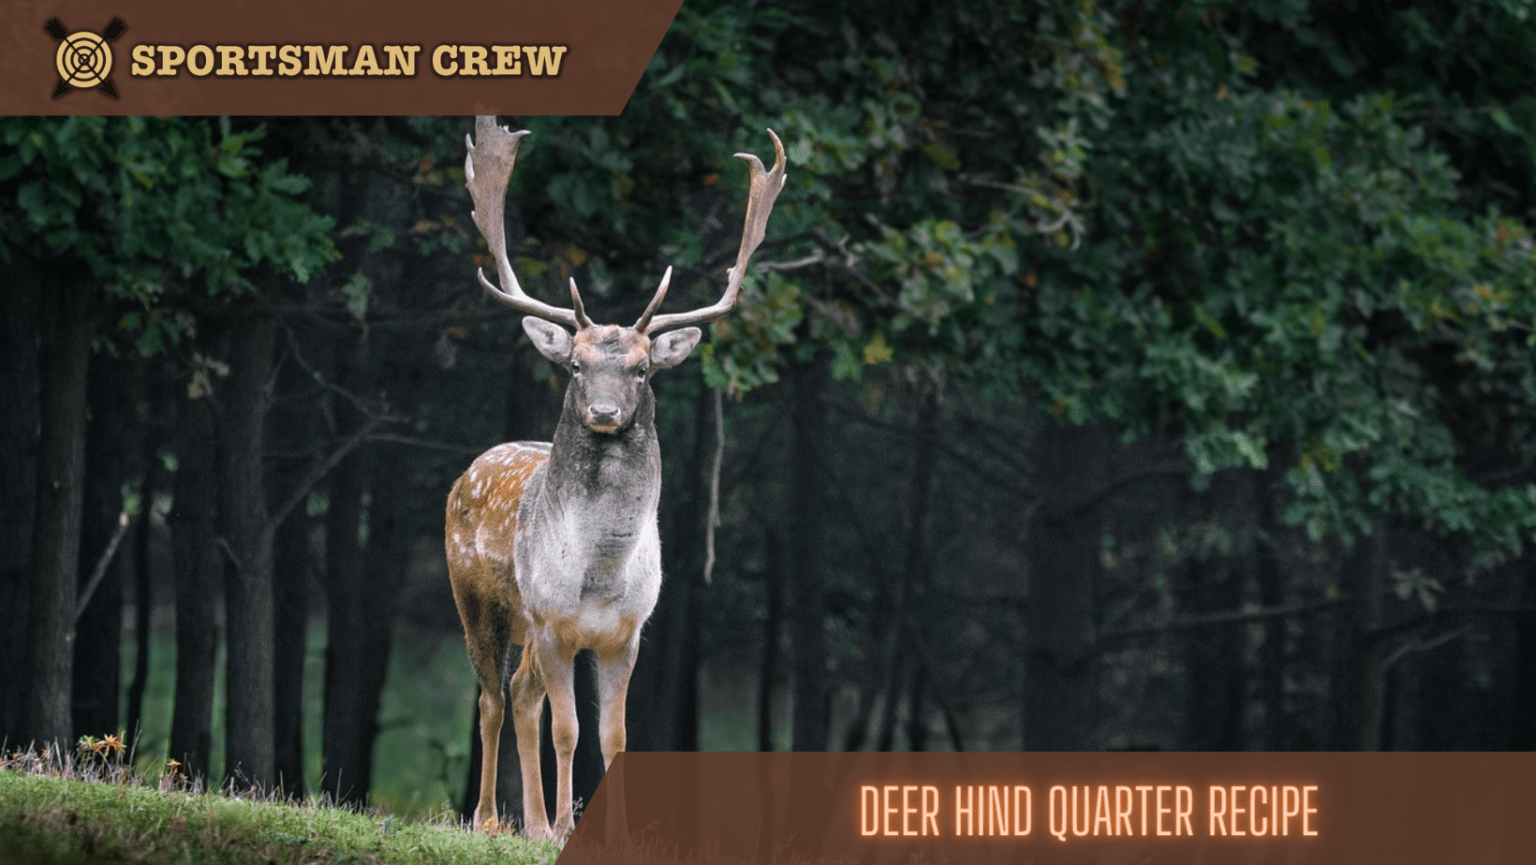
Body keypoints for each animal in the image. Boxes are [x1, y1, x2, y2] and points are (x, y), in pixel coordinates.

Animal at [445, 116, 786, 841]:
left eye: (641, 368)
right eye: (575, 365)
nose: (603, 411)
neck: (600, 575)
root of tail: (469, 471)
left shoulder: (626, 633)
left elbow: (616, 735)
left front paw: (607, 833)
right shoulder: (553, 622)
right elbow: (569, 730)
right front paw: (564, 828)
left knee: (520, 695)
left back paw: (529, 821)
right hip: (479, 601)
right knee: (491, 698)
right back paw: (491, 819)